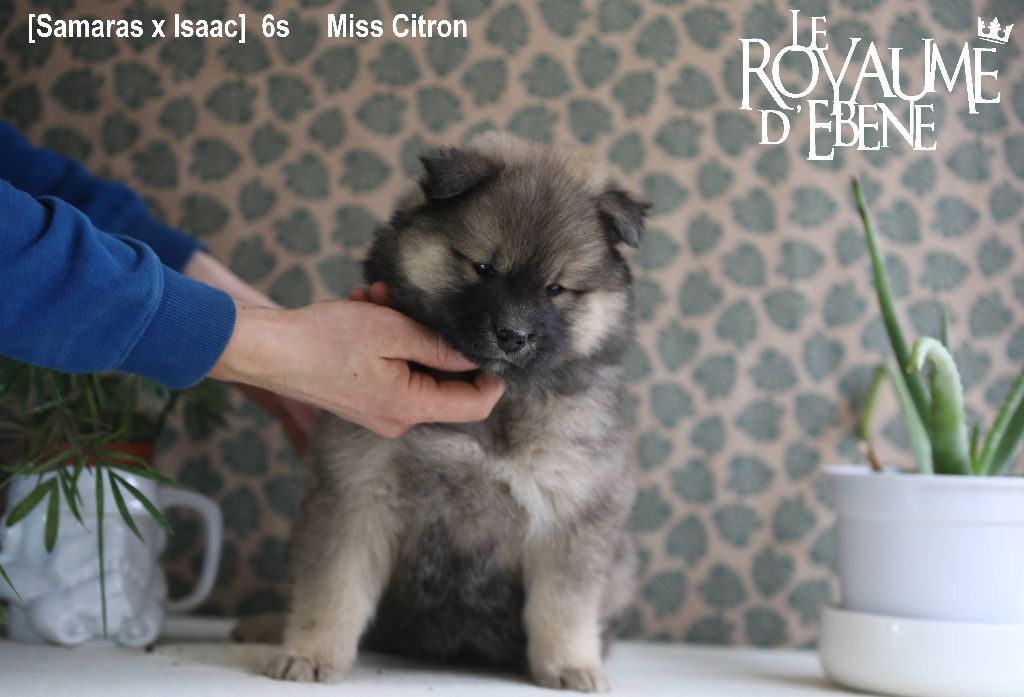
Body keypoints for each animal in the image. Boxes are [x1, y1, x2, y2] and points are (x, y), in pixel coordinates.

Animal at [264, 132, 646, 692]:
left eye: (555, 288)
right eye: (483, 267)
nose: (513, 335)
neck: (499, 399)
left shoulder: (573, 510)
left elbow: (565, 607)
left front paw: (572, 665)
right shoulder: (357, 488)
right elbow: (332, 588)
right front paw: (309, 653)